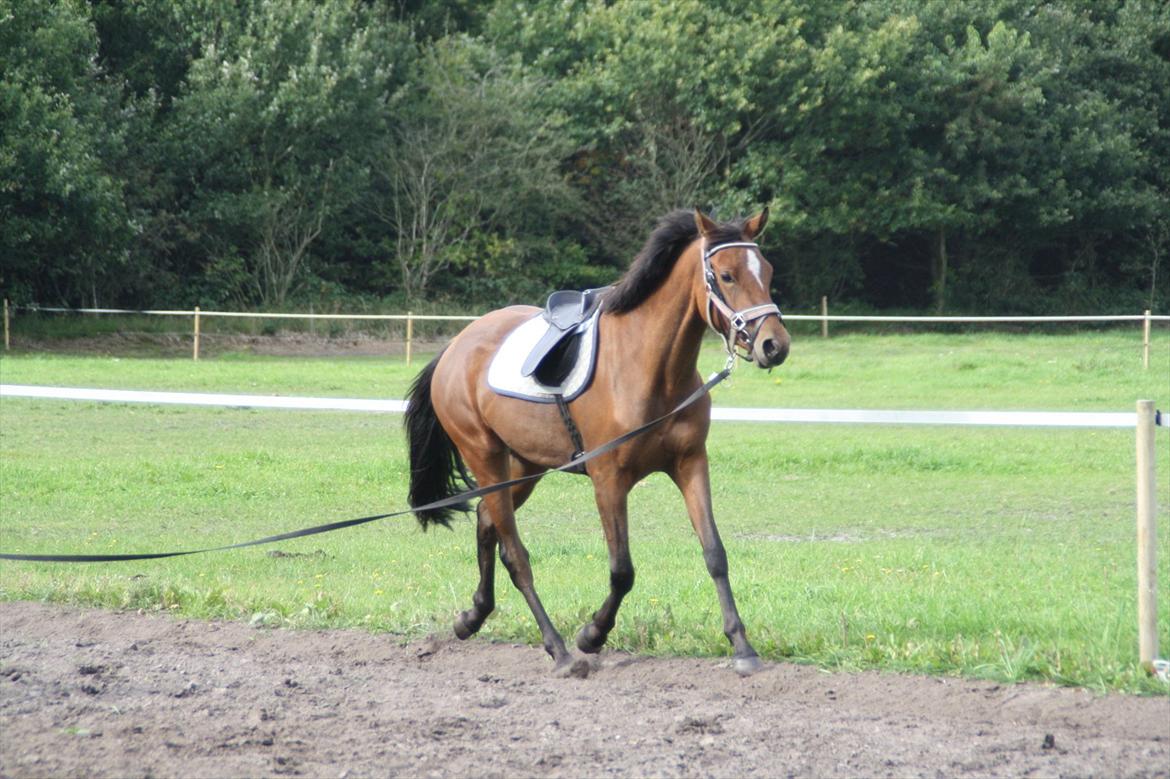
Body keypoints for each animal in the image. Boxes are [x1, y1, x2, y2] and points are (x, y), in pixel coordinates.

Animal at [404, 205, 795, 673]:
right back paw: (558, 650)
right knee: (515, 554)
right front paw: (592, 635)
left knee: (486, 521)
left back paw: (473, 616)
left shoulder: (690, 464)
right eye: (726, 275)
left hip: (523, 465)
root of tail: (456, 346)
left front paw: (742, 646)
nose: (774, 345)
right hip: (484, 456)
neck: (651, 369)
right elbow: (622, 570)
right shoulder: (609, 480)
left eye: (767, 271)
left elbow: (715, 554)